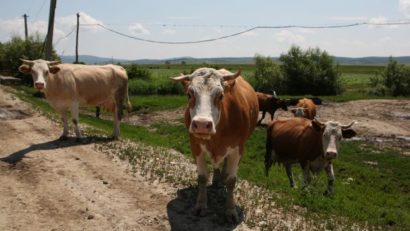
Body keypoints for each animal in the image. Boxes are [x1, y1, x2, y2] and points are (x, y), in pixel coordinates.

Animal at [171, 67, 258, 223]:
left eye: (221, 95)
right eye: (189, 94)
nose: (201, 124)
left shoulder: (238, 149)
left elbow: (231, 181)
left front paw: (230, 210)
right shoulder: (195, 145)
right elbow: (202, 177)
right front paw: (201, 205)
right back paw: (217, 178)